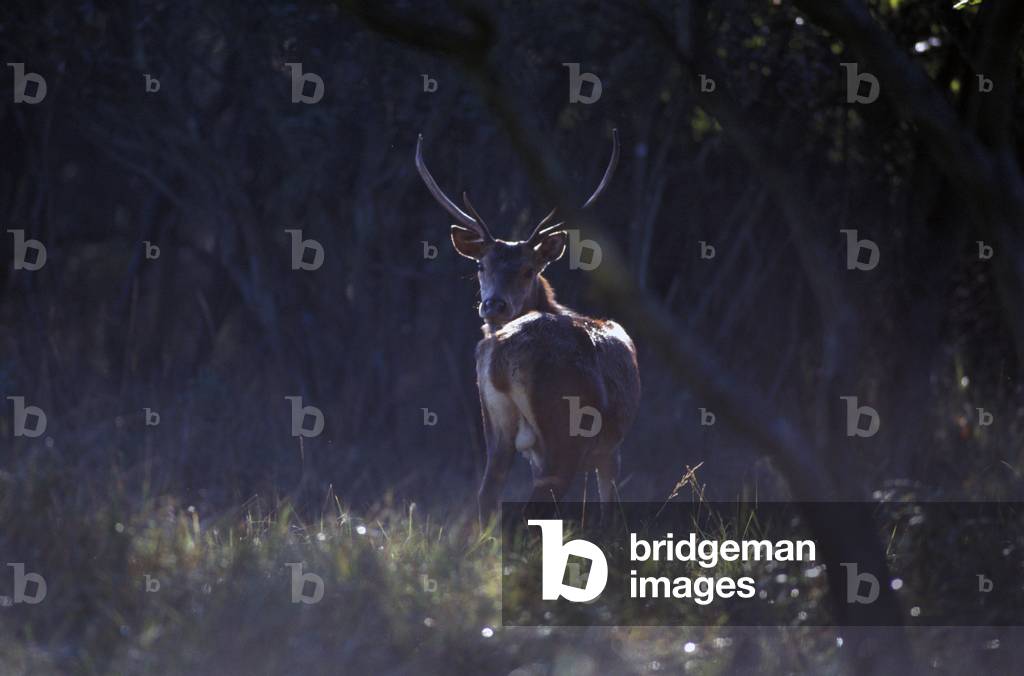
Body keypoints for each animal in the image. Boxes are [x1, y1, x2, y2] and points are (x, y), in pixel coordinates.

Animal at [415, 130, 641, 522]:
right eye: (481, 266)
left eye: (527, 269)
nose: (494, 305)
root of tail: (501, 352)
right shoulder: (611, 449)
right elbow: (608, 507)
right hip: (564, 428)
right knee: (534, 504)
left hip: (495, 424)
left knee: (488, 495)